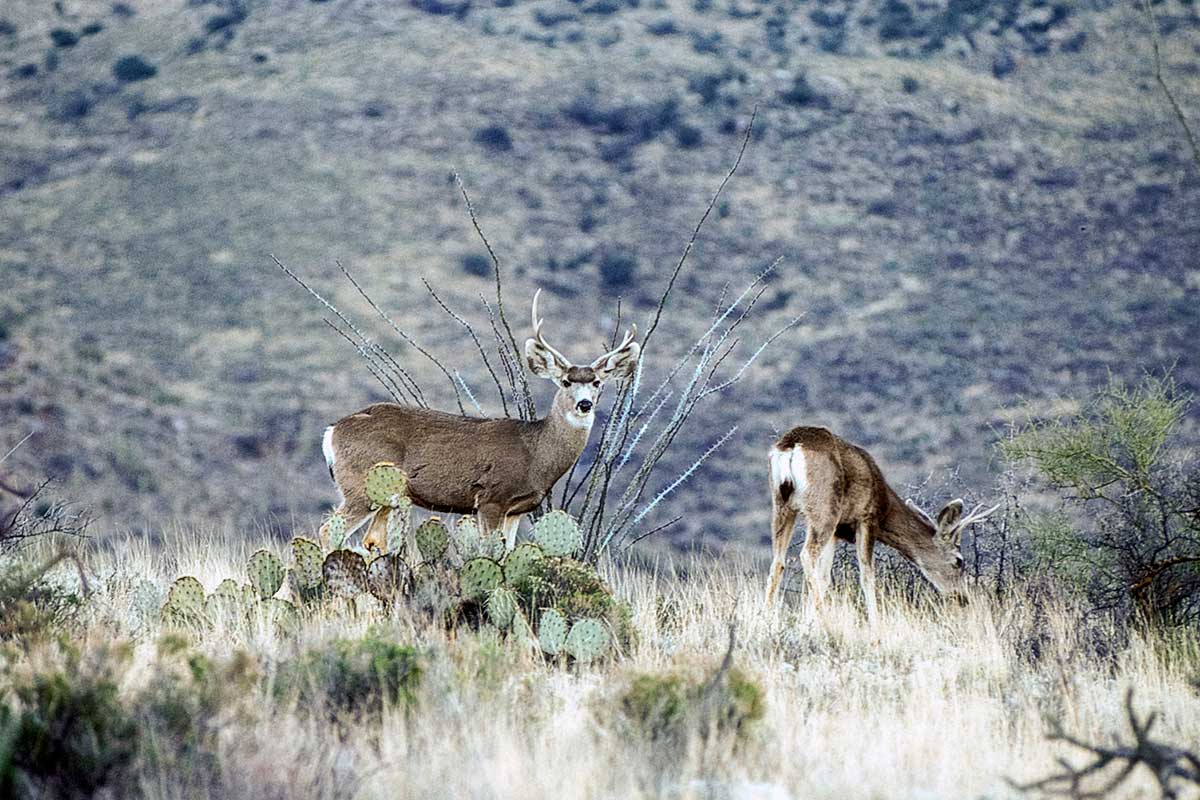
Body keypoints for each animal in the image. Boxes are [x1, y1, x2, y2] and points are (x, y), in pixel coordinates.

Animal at [316, 291, 638, 554]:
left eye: (597, 382)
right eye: (566, 381)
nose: (584, 404)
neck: (535, 453)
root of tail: (332, 431)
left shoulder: (517, 509)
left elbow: (508, 554)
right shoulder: (490, 498)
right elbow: (488, 553)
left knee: (371, 540)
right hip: (361, 484)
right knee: (328, 530)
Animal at [763, 424, 998, 623]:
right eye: (959, 561)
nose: (963, 598)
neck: (885, 504)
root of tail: (791, 446)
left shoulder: (837, 532)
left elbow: (824, 577)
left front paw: (808, 622)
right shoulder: (867, 518)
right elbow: (867, 576)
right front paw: (876, 629)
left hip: (782, 504)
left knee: (778, 560)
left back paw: (768, 619)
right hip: (824, 507)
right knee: (806, 554)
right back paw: (827, 622)